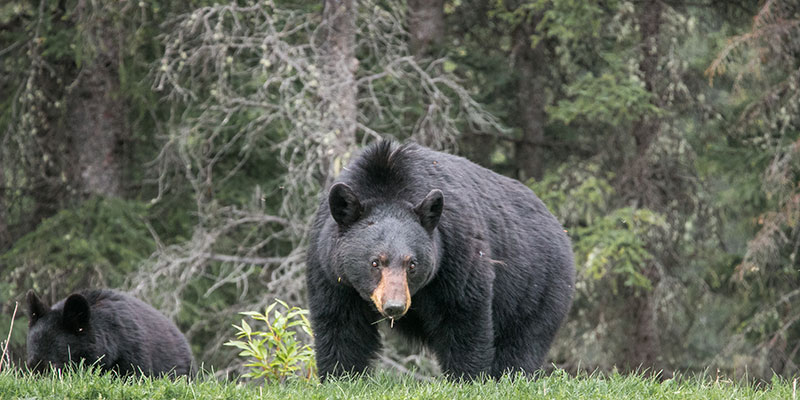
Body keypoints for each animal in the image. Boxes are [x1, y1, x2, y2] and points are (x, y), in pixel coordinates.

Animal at [306, 142, 576, 380]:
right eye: (375, 262)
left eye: (412, 264)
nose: (394, 306)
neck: (388, 181)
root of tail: (559, 227)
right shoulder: (329, 265)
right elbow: (342, 323)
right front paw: (341, 376)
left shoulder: (455, 248)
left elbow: (463, 314)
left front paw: (467, 378)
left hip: (538, 287)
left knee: (523, 342)